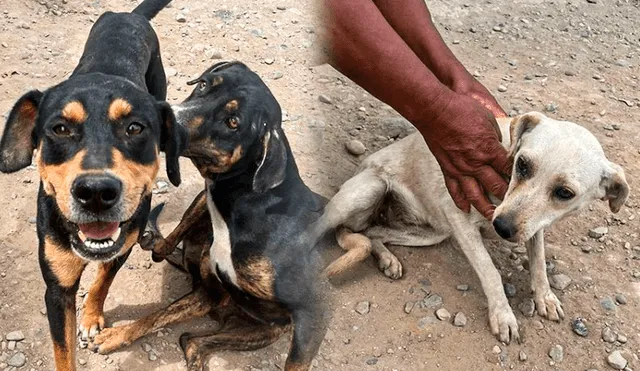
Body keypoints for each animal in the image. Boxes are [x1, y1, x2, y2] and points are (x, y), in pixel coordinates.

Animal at [0, 0, 188, 371]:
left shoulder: (125, 244)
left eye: (135, 128)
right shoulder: (57, 288)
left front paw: (91, 317)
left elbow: (102, 281)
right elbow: (64, 352)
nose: (96, 193)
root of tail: (129, 16)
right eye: (59, 128)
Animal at [89, 61, 330, 371]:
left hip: (261, 331)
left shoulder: (305, 310)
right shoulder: (208, 279)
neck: (241, 202)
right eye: (203, 84)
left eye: (233, 122)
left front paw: (116, 335)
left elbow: (155, 316)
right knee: (191, 338)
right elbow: (158, 313)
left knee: (193, 341)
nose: (156, 118)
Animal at [318, 112, 628, 344]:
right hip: (368, 190)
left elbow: (539, 261)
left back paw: (387, 259)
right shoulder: (461, 219)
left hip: (430, 233)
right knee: (328, 227)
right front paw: (503, 316)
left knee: (373, 233)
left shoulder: (532, 226)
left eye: (565, 193)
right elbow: (490, 271)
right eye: (523, 164)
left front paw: (545, 297)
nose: (501, 227)